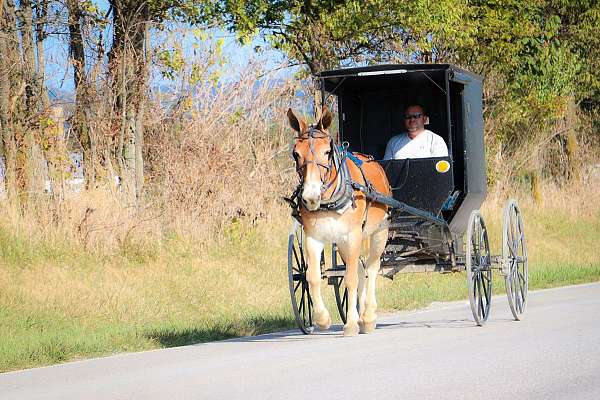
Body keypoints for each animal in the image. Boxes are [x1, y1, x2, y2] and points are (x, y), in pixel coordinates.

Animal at [288, 108, 392, 336]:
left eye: (327, 152)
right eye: (295, 153)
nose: (310, 197)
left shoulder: (352, 235)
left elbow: (351, 279)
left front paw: (351, 324)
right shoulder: (313, 238)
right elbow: (312, 276)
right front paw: (322, 319)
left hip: (378, 232)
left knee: (371, 268)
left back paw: (368, 317)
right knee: (361, 269)